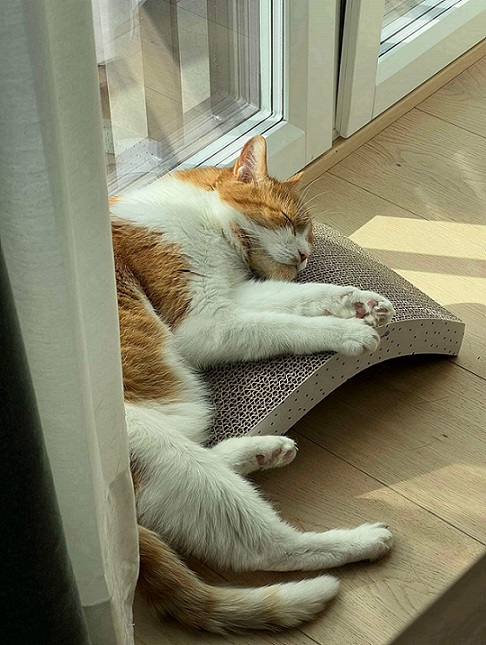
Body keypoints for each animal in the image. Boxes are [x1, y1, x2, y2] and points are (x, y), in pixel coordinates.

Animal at [111, 135, 395, 633]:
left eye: (310, 237)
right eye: (288, 221)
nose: (303, 255)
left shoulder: (237, 295)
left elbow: (304, 297)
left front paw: (364, 303)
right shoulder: (208, 320)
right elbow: (284, 324)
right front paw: (349, 332)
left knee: (209, 467)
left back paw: (262, 450)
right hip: (162, 450)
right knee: (268, 549)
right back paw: (361, 540)